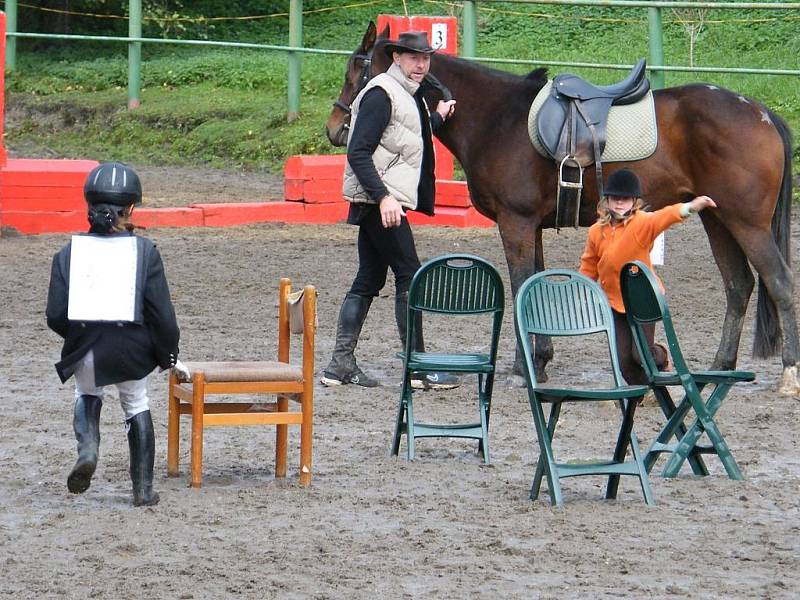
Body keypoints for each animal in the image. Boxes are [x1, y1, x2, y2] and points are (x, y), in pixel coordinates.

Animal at [324, 22, 800, 394]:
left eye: (355, 69)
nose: (334, 127)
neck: (497, 118)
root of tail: (759, 112)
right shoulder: (530, 226)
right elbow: (533, 286)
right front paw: (541, 359)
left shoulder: (515, 223)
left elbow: (520, 286)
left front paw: (523, 368)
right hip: (717, 218)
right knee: (739, 285)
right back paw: (719, 369)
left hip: (746, 223)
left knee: (778, 282)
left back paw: (788, 374)